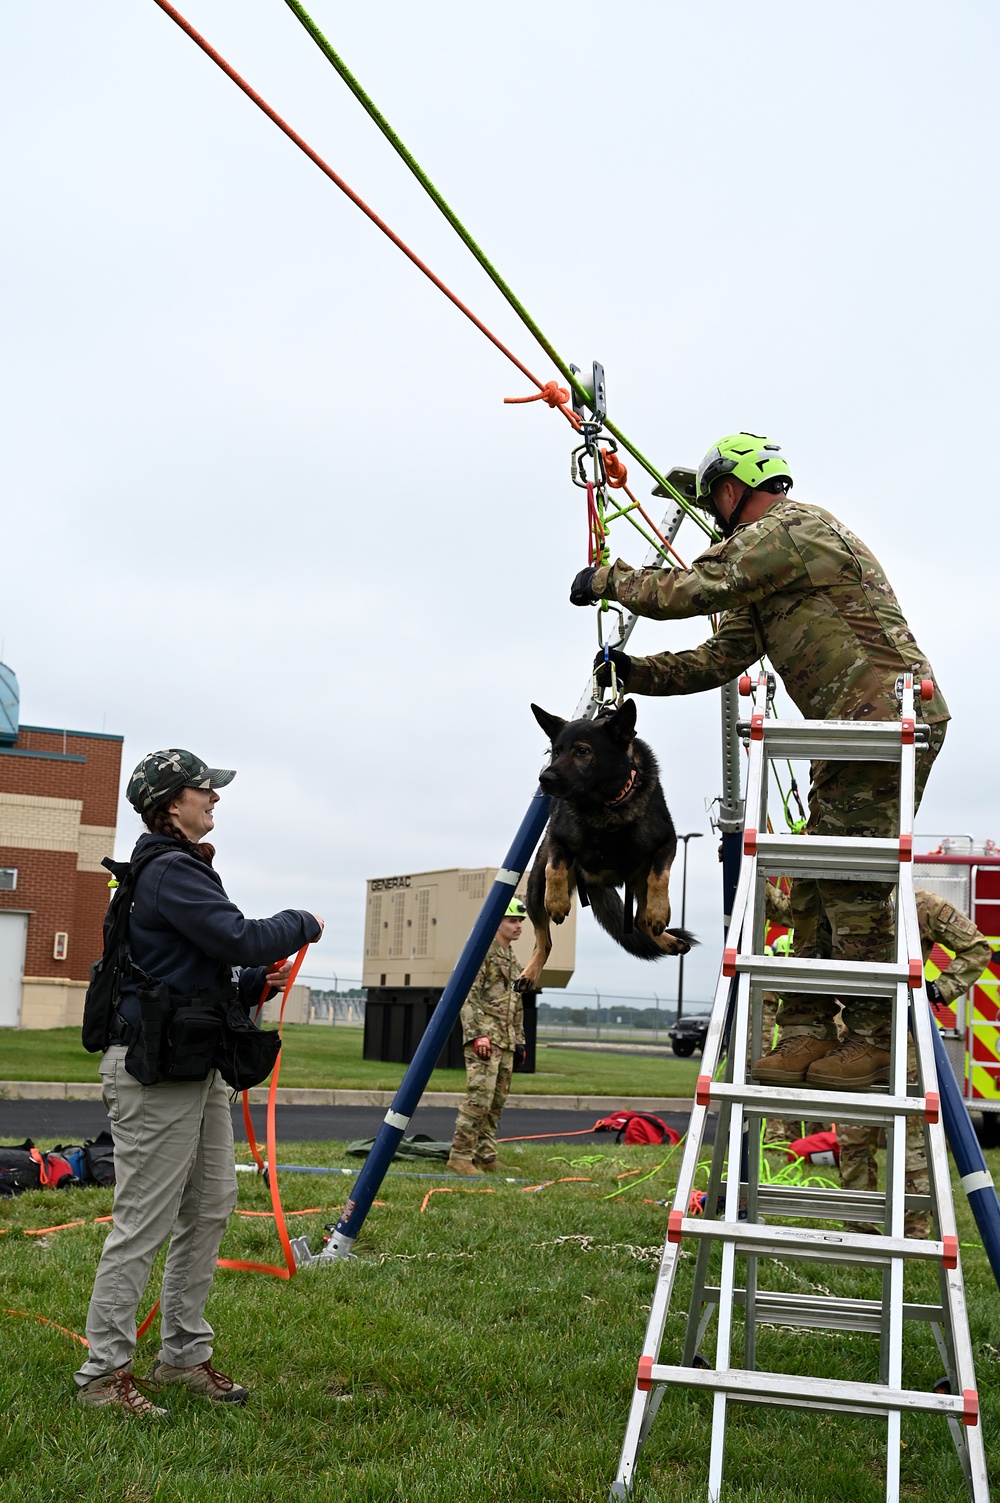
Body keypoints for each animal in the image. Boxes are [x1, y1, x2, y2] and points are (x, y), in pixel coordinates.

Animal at [514, 700, 694, 991]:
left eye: (582, 751)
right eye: (556, 752)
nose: (545, 779)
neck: (604, 806)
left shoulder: (667, 843)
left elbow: (660, 876)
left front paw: (660, 910)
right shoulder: (557, 840)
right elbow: (555, 868)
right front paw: (556, 901)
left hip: (638, 876)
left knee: (641, 919)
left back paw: (667, 937)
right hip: (533, 888)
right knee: (544, 940)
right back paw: (529, 972)